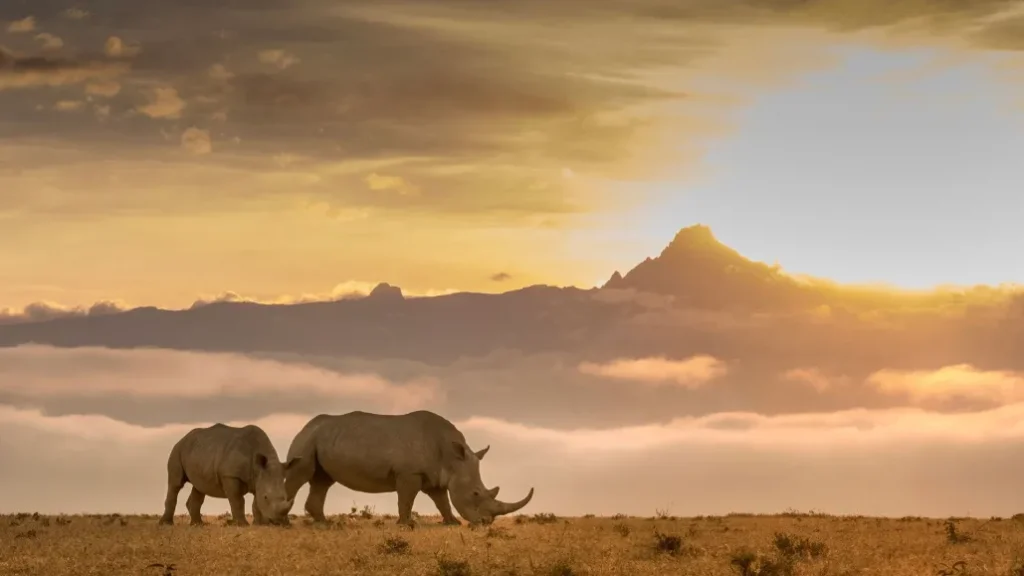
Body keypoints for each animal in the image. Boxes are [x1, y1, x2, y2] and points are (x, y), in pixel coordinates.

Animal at [158, 423, 299, 527]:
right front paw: (242, 525)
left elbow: (255, 502)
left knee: (199, 487)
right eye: (266, 497)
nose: (278, 522)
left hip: (200, 452)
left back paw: (198, 525)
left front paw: (260, 524)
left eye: (286, 497)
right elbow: (237, 500)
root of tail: (183, 438)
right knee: (176, 484)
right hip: (177, 450)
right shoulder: (230, 475)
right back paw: (166, 524)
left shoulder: (259, 479)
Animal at [284, 410, 534, 526]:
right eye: (475, 493)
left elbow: (442, 501)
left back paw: (324, 524)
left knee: (322, 480)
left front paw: (451, 523)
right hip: (307, 439)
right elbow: (406, 499)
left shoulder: (436, 477)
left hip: (321, 439)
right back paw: (281, 521)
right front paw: (406, 524)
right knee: (300, 474)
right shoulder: (409, 473)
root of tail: (306, 424)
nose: (486, 523)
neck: (452, 458)